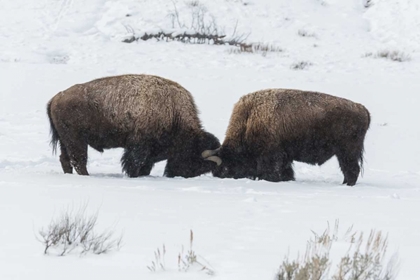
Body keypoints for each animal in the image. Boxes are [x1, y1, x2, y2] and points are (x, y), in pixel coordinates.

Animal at [46, 74, 220, 177]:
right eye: (193, 159)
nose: (177, 174)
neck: (173, 113)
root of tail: (56, 97)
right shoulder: (139, 147)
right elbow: (134, 163)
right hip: (76, 140)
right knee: (79, 160)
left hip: (66, 141)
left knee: (66, 159)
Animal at [203, 89, 370, 186]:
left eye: (226, 166)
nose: (221, 176)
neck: (250, 119)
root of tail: (362, 109)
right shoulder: (284, 157)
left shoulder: (272, 155)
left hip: (347, 151)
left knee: (351, 169)